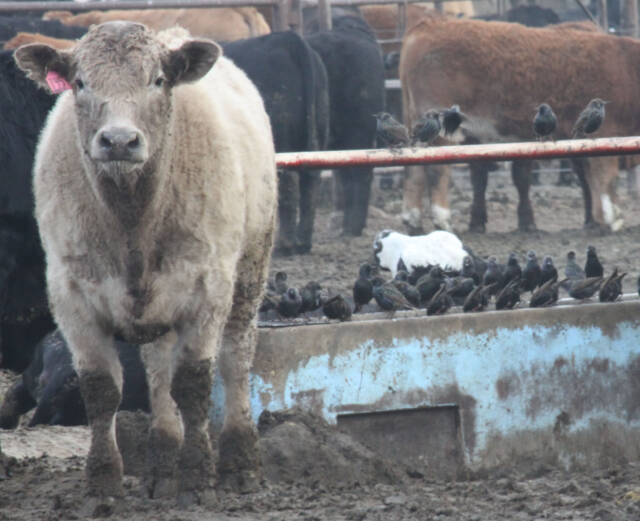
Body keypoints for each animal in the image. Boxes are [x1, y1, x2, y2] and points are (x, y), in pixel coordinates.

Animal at [400, 16, 631, 234]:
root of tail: (423, 28)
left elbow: (521, 178)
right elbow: (605, 176)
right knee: (436, 170)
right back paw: (443, 221)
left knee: (414, 170)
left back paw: (413, 221)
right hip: (441, 134)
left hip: (416, 127)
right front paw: (613, 219)